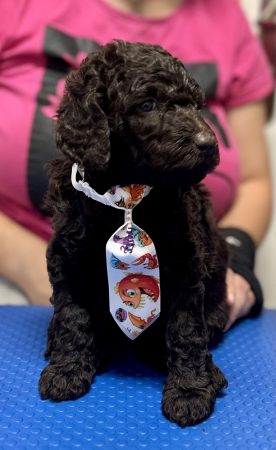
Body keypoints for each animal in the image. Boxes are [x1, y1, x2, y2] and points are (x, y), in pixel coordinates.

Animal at [39, 40, 229, 428]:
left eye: (195, 105)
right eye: (147, 104)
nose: (208, 143)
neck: (126, 198)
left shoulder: (185, 263)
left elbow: (186, 328)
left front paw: (189, 390)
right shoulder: (67, 258)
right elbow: (72, 316)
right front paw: (67, 369)